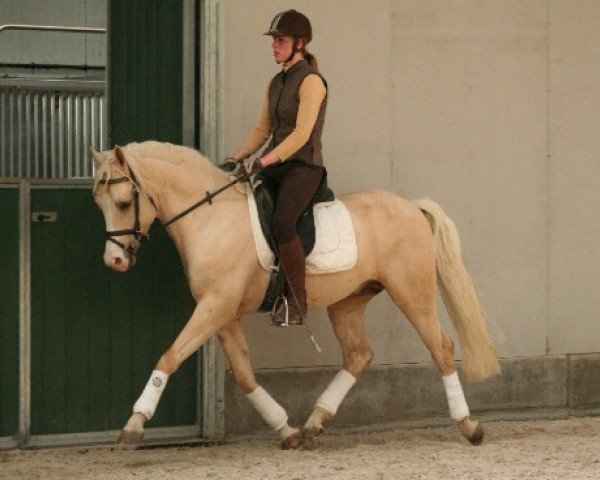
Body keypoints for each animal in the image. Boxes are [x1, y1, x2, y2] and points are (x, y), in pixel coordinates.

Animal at [90, 141, 502, 448]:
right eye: (100, 203)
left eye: (124, 203)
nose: (114, 260)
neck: (211, 218)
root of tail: (412, 208)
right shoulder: (223, 313)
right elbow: (244, 375)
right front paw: (286, 431)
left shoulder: (215, 306)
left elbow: (170, 356)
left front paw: (133, 424)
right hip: (348, 302)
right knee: (359, 355)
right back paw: (313, 423)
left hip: (412, 294)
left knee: (441, 349)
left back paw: (469, 427)